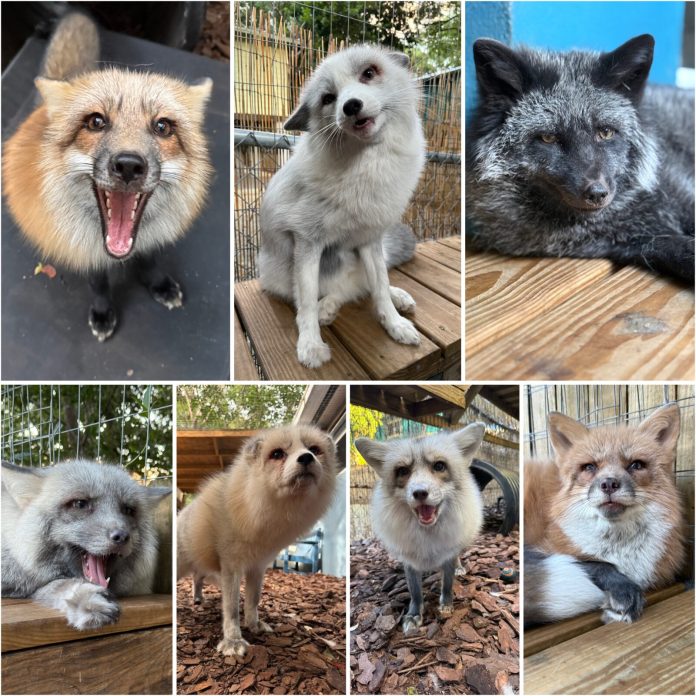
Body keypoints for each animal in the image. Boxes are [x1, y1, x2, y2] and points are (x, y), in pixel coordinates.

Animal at [3, 12, 213, 341]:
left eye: (162, 126)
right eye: (96, 122)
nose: (128, 165)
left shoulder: (151, 240)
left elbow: (150, 263)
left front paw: (159, 285)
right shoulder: (88, 249)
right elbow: (99, 285)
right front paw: (103, 313)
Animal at [177, 425, 337, 657]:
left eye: (314, 449)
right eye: (277, 454)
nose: (307, 457)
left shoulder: (258, 566)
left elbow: (253, 600)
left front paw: (254, 625)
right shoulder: (231, 566)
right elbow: (232, 609)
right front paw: (233, 641)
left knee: (197, 578)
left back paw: (198, 598)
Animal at [355, 424, 485, 632]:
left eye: (439, 466)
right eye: (402, 471)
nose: (420, 493)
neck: (427, 540)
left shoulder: (448, 553)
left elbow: (447, 583)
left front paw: (446, 604)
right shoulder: (409, 560)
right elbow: (415, 592)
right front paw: (414, 614)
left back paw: (459, 568)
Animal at [524, 404, 685, 626]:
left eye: (636, 465)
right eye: (589, 467)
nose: (608, 483)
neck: (619, 548)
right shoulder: (542, 547)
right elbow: (593, 563)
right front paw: (622, 589)